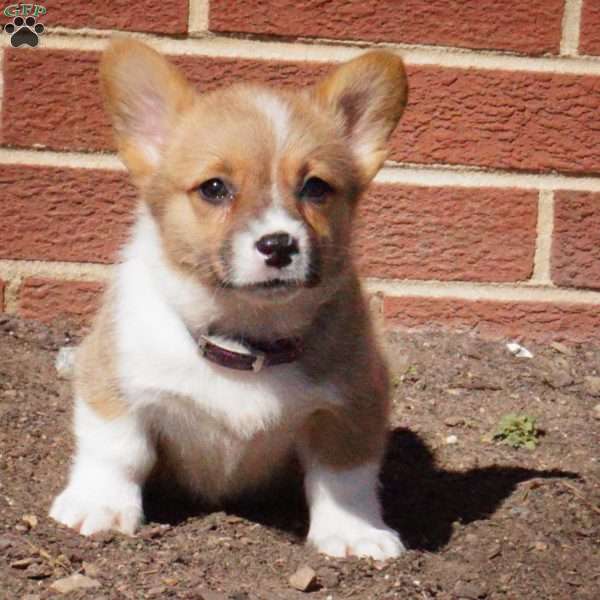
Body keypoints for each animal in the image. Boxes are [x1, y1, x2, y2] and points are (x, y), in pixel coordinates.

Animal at [50, 39, 408, 560]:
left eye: (315, 187)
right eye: (215, 188)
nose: (279, 245)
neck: (244, 335)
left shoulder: (352, 402)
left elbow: (345, 474)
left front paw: (353, 531)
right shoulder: (113, 382)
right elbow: (117, 449)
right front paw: (100, 504)